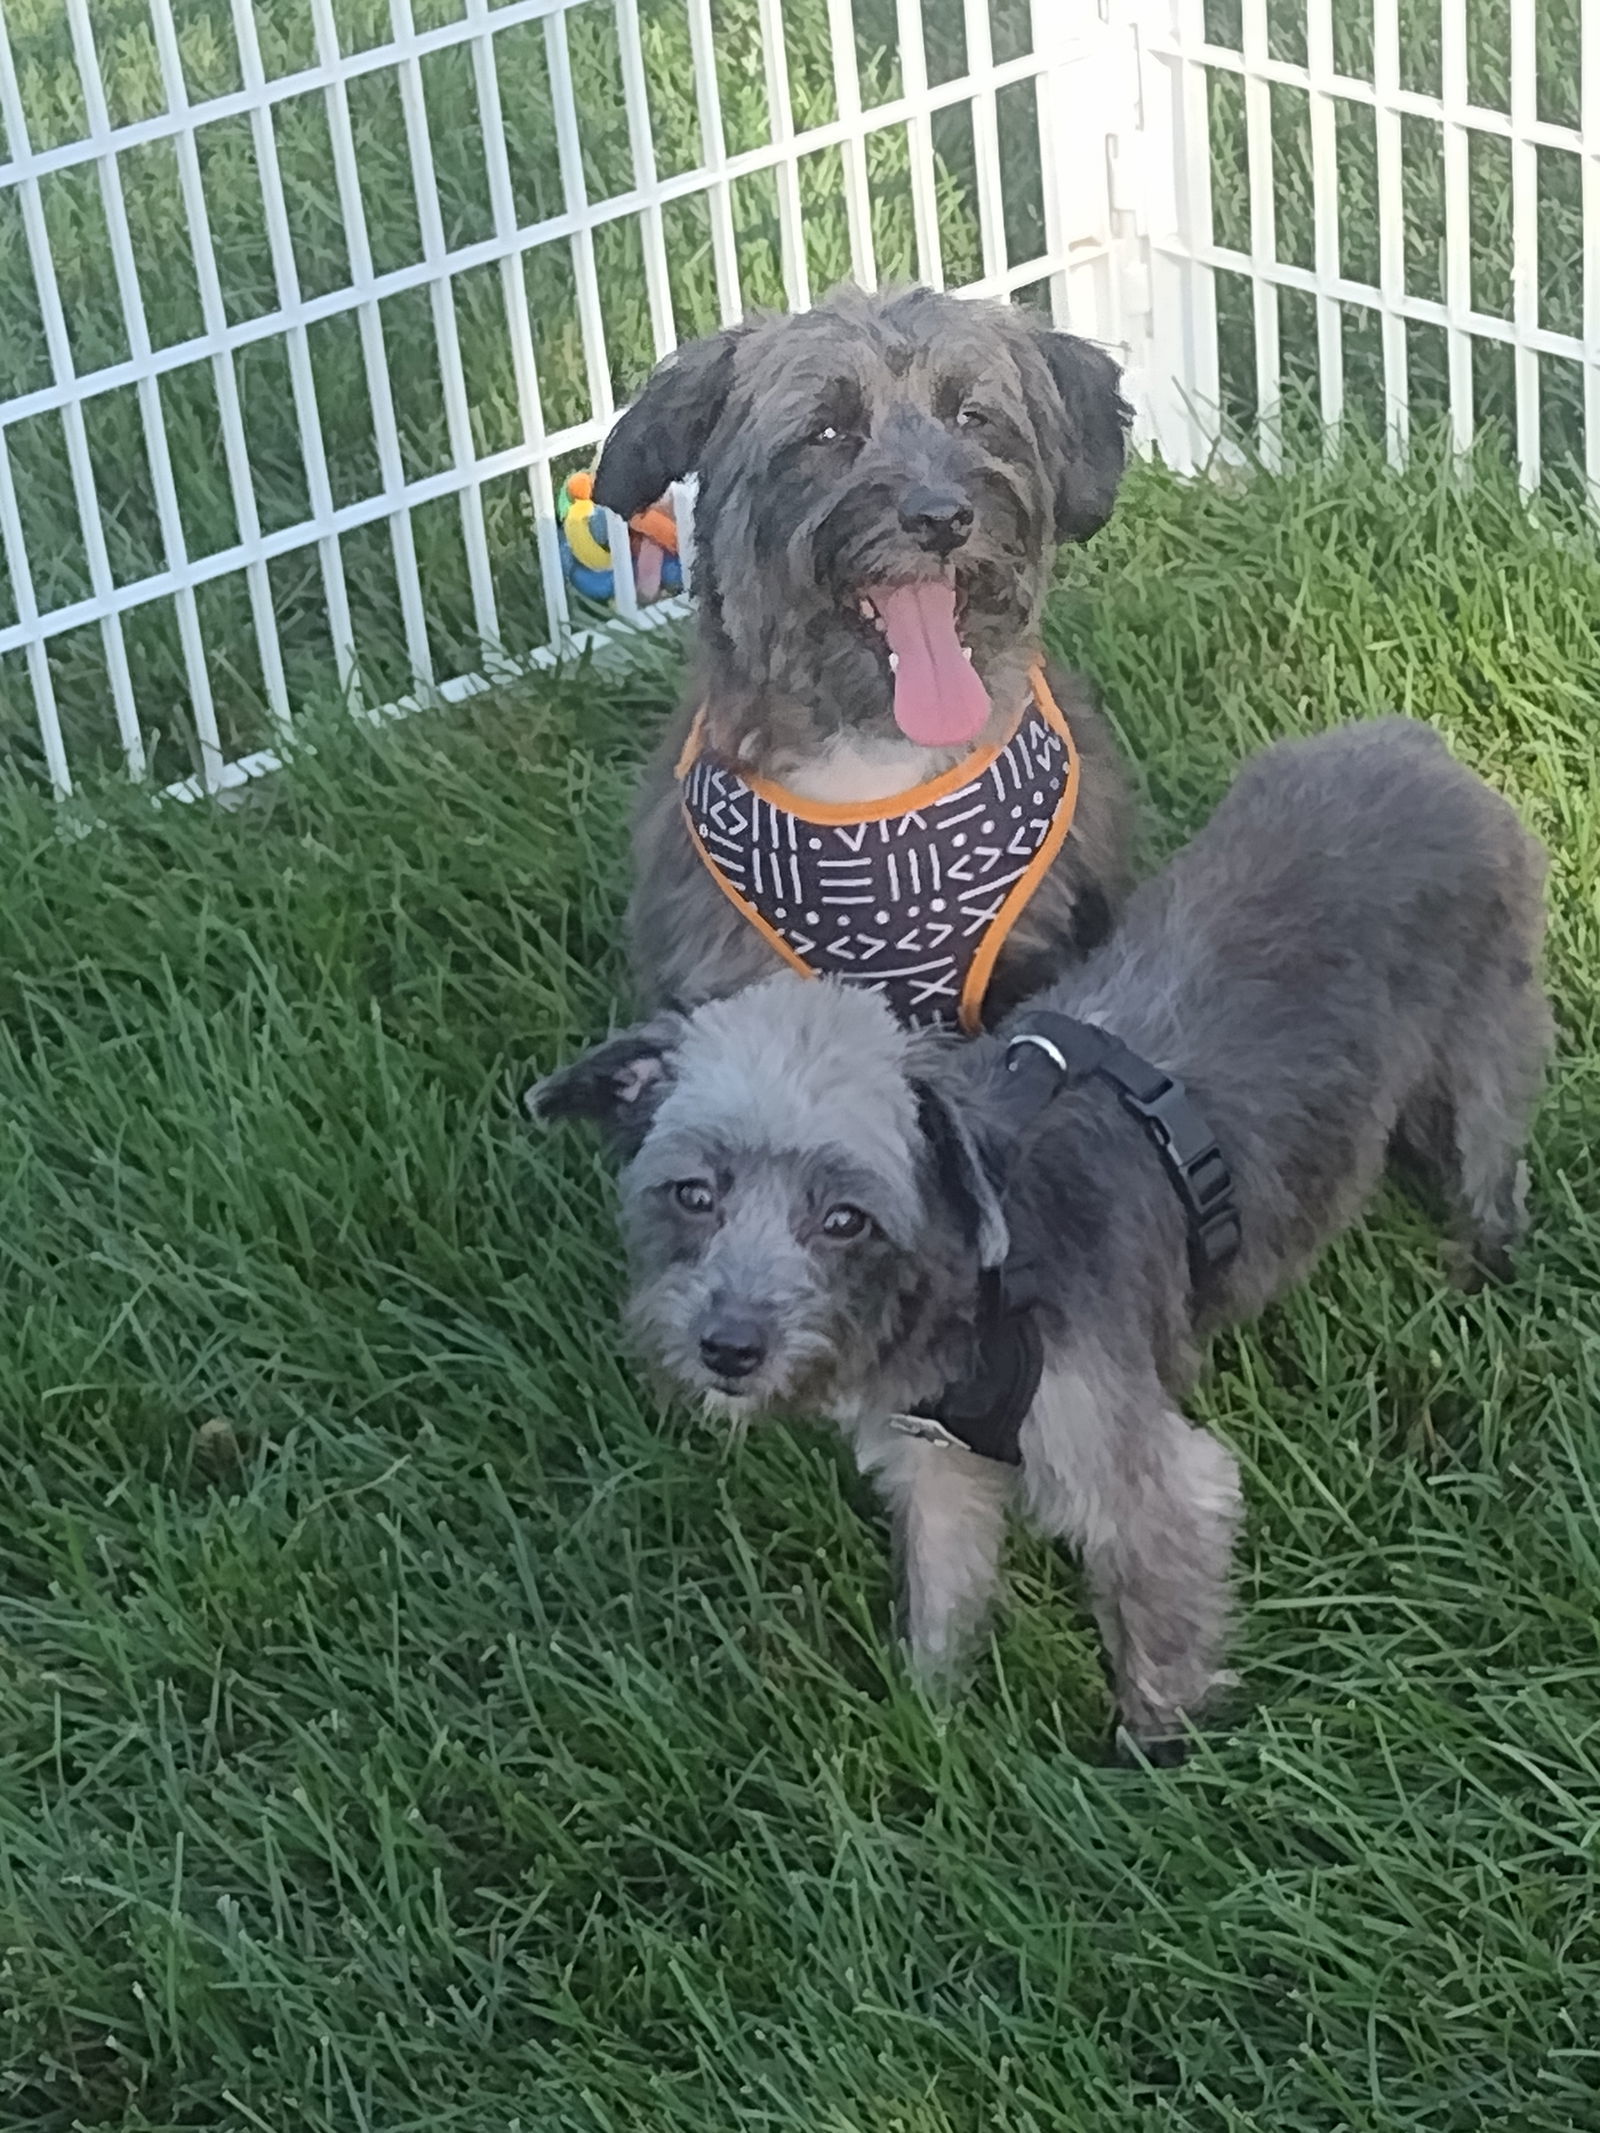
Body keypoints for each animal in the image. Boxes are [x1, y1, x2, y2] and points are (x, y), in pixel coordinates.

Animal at [535, 720, 1553, 1749]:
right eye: (693, 1194)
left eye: (845, 1218)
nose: (729, 1346)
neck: (983, 1275)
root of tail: (1412, 743)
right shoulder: (936, 1465)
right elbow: (941, 1598)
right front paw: (931, 1723)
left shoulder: (1141, 1473)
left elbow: (1161, 1628)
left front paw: (1157, 1755)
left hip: (1487, 1039)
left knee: (1492, 1163)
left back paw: (1481, 1264)